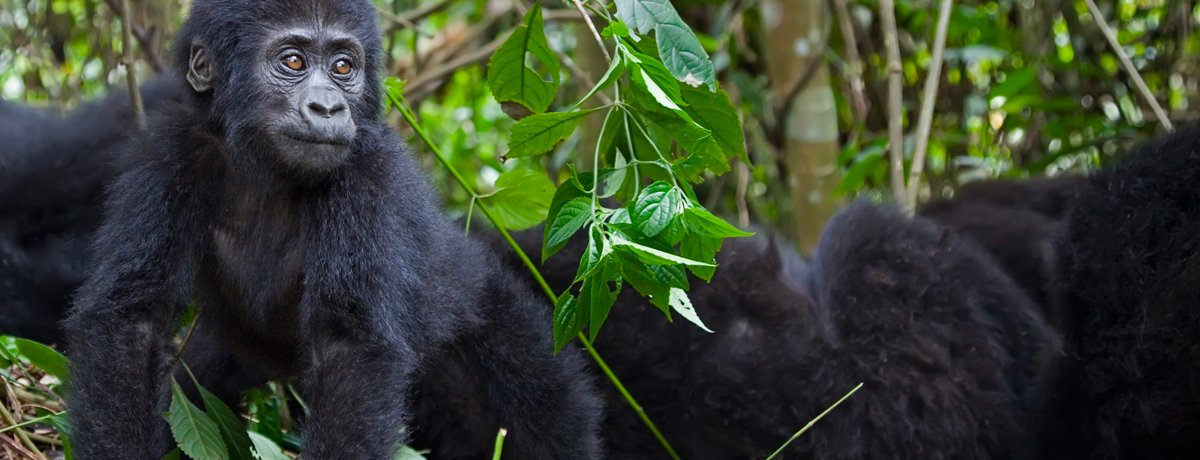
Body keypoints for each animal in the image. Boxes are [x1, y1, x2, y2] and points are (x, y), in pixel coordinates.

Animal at [60, 1, 600, 458]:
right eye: (293, 61)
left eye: (343, 68)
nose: (328, 108)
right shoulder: (172, 151)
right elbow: (131, 320)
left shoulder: (367, 174)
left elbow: (350, 350)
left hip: (511, 330)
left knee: (548, 412)